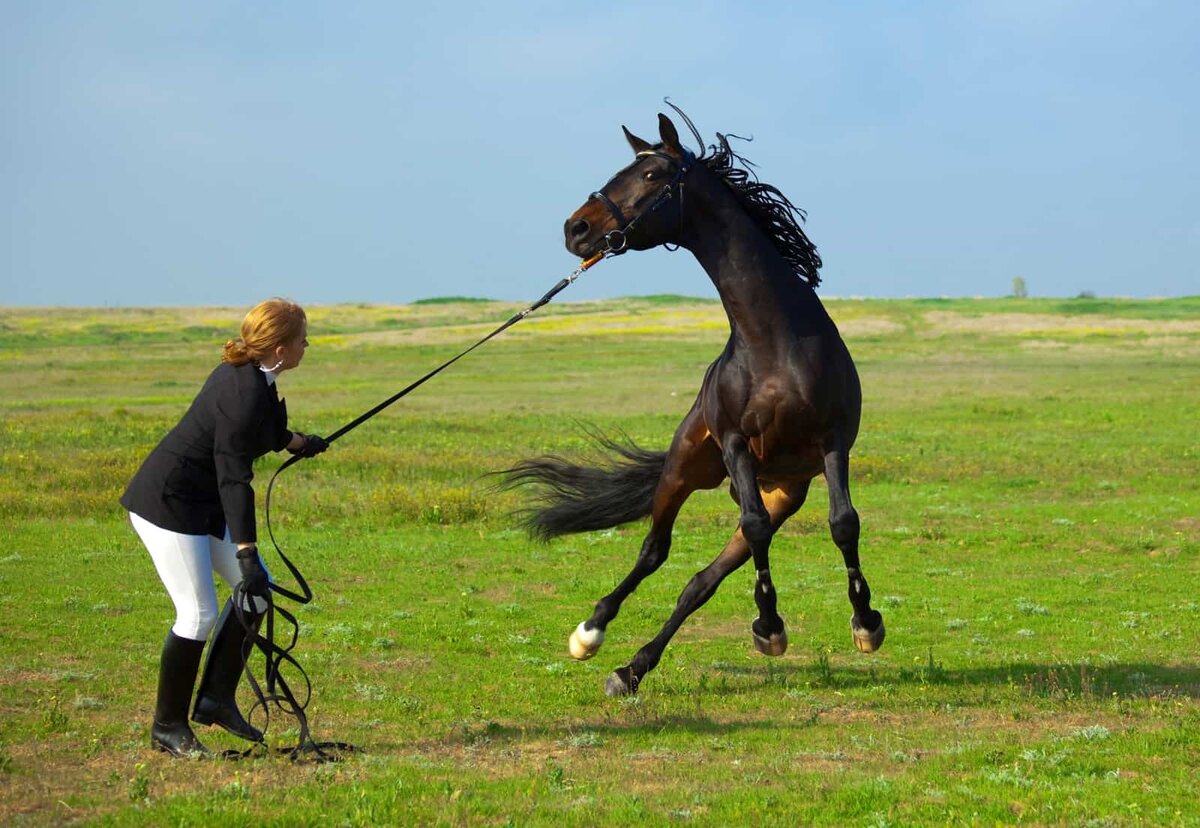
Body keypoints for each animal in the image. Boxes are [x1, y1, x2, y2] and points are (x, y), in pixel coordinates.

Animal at [501, 106, 888, 691]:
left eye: (651, 174)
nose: (576, 228)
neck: (774, 343)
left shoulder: (832, 441)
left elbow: (843, 523)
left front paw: (864, 624)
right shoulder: (734, 443)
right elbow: (753, 530)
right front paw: (770, 626)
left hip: (782, 492)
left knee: (700, 581)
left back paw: (632, 668)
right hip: (685, 467)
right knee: (654, 551)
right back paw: (591, 634)